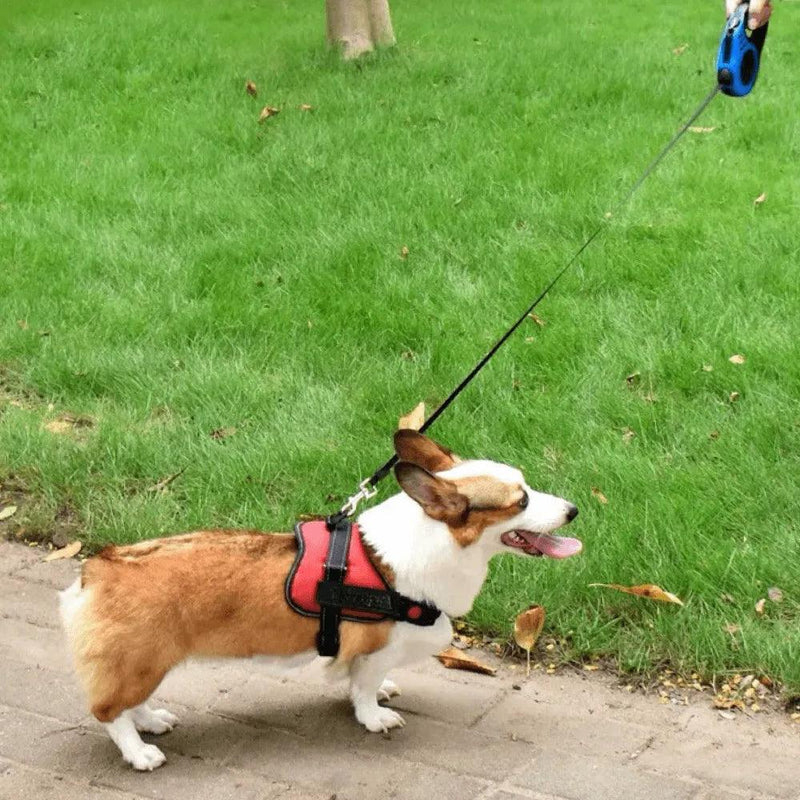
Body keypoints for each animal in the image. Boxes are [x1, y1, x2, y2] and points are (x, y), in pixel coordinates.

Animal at [57, 428, 580, 772]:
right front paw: (374, 717)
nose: (575, 510)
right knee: (109, 711)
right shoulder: (374, 648)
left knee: (128, 704)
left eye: (527, 486)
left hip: (147, 662)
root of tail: (101, 567)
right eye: (521, 501)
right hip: (143, 661)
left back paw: (152, 722)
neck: (435, 543)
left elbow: (366, 683)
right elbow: (363, 688)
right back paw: (139, 752)